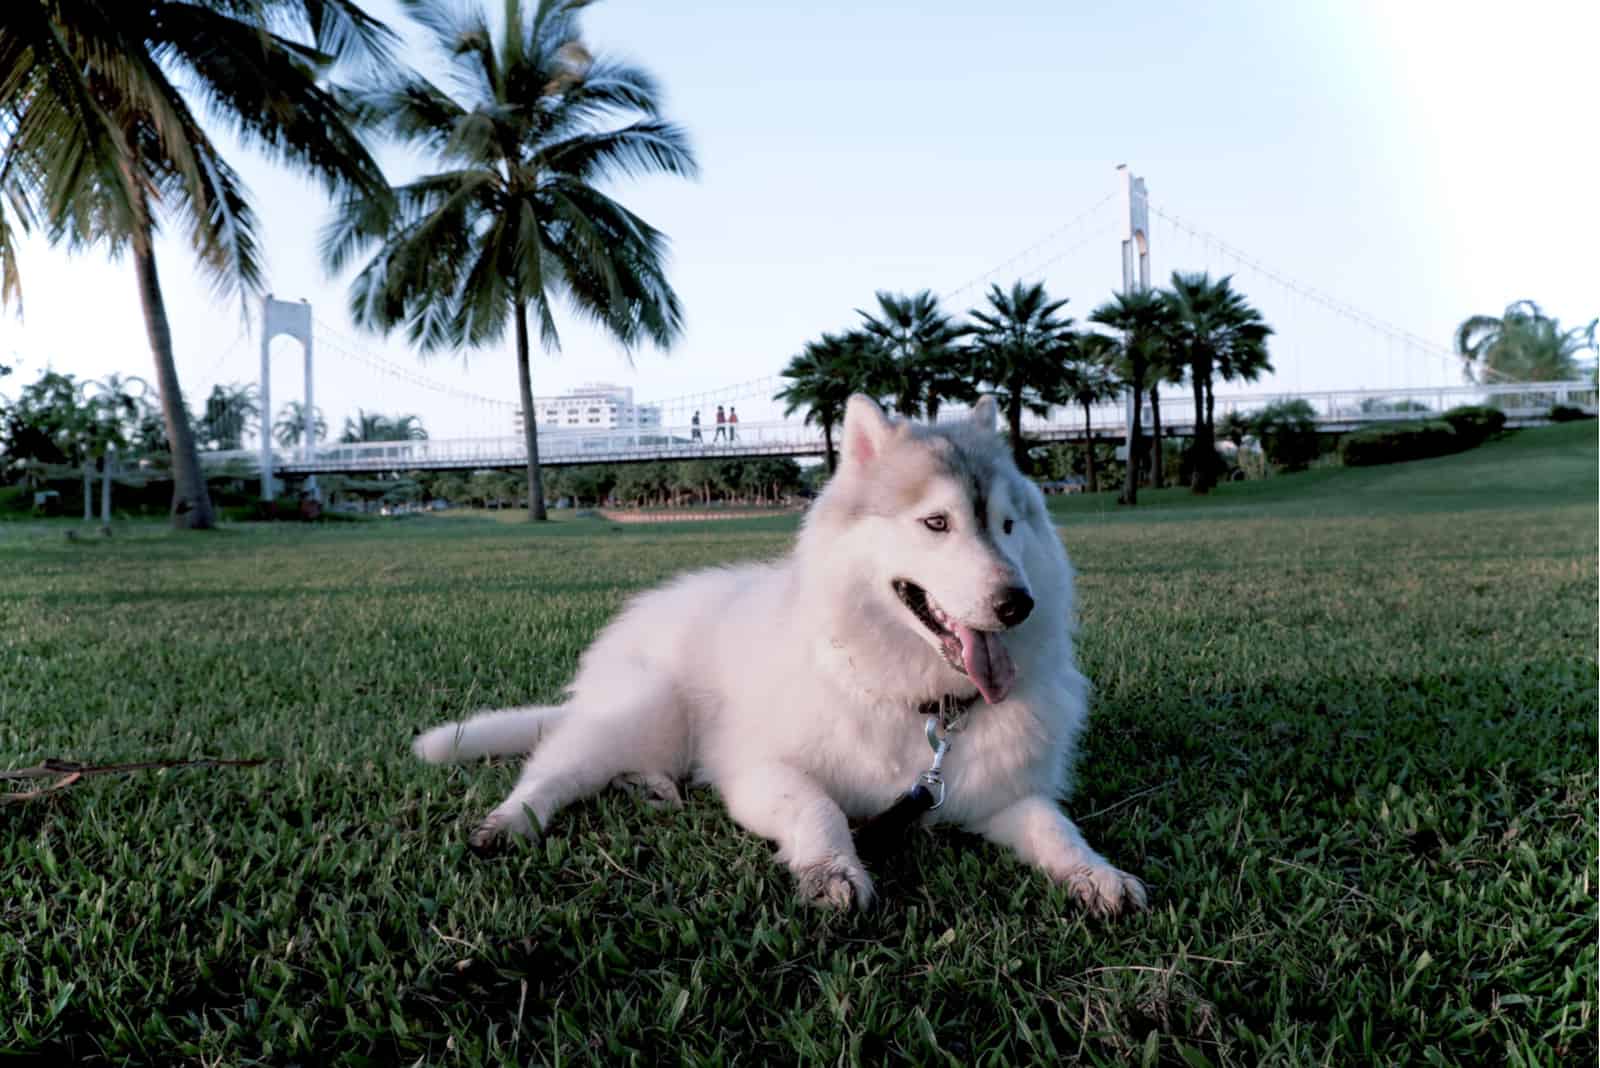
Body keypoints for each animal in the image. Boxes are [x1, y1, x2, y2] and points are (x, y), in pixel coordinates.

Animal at [412, 396, 1139, 914]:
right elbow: (818, 809)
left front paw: (1097, 875)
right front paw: (832, 871)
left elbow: (1057, 829)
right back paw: (510, 822)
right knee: (551, 773)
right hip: (641, 710)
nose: (1019, 603)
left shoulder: (1000, 795)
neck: (916, 700)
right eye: (937, 523)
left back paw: (651, 787)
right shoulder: (759, 772)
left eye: (1010, 526)